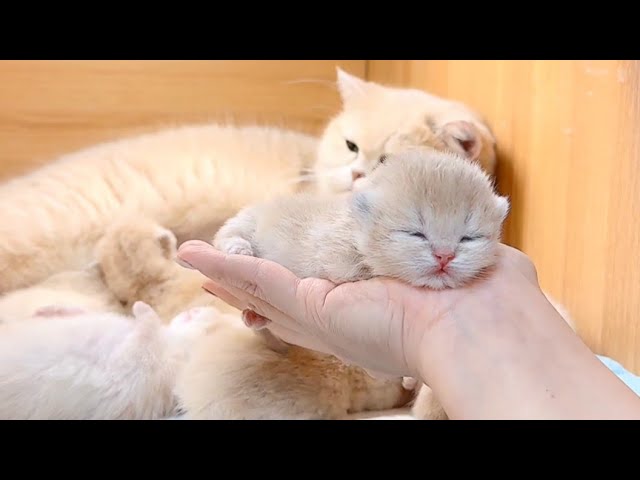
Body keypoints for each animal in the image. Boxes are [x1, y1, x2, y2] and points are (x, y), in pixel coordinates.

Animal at [210, 148, 510, 418]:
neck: (356, 234)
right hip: (246, 222)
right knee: (226, 235)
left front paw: (410, 379)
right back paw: (240, 250)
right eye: (416, 233)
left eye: (469, 237)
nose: (444, 256)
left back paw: (257, 319)